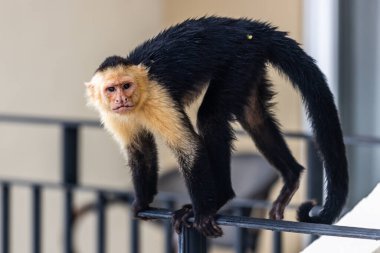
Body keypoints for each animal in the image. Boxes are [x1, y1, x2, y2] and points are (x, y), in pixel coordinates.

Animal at [85, 16, 348, 238]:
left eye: (126, 85)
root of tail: (247, 27)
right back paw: (291, 177)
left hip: (240, 57)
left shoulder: (158, 96)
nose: (121, 99)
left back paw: (221, 197)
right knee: (253, 117)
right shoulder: (113, 115)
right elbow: (140, 152)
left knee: (210, 117)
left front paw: (202, 213)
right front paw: (142, 201)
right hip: (250, 61)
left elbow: (190, 149)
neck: (139, 100)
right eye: (111, 89)